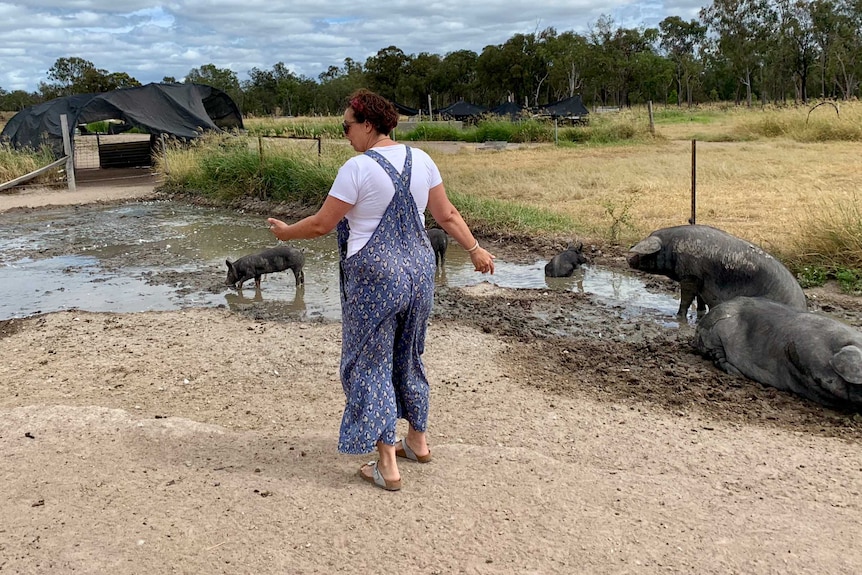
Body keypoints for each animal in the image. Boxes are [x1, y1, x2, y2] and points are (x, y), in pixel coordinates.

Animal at [628, 225, 808, 318]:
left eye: (644, 253)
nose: (628, 258)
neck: (671, 247)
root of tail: (801, 306)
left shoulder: (690, 276)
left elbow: (686, 299)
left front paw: (678, 316)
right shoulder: (702, 281)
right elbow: (700, 301)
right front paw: (700, 313)